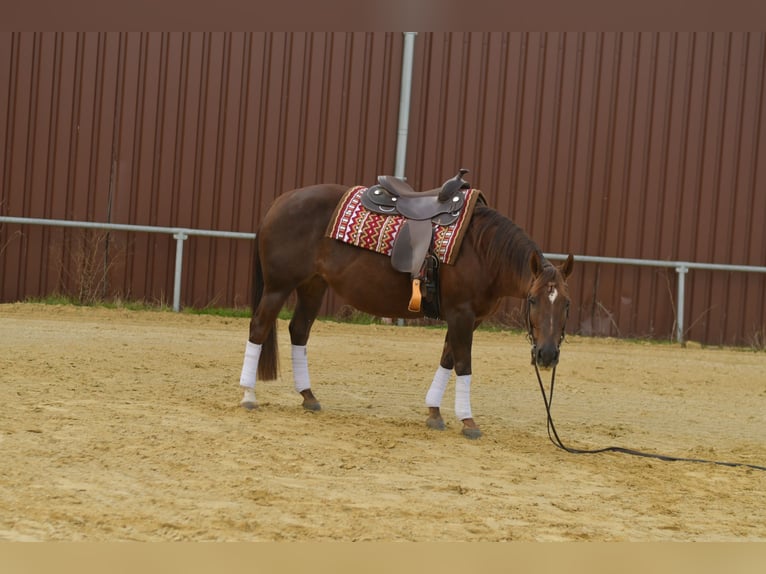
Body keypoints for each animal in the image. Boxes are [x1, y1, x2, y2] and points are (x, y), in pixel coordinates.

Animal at [238, 182, 574, 438]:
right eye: (533, 300)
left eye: (566, 304)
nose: (547, 356)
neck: (482, 251)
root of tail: (280, 202)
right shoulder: (461, 314)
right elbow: (463, 364)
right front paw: (468, 421)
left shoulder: (470, 318)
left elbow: (447, 359)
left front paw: (434, 413)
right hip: (278, 287)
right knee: (259, 327)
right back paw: (248, 394)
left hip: (313, 286)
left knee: (299, 332)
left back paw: (308, 396)